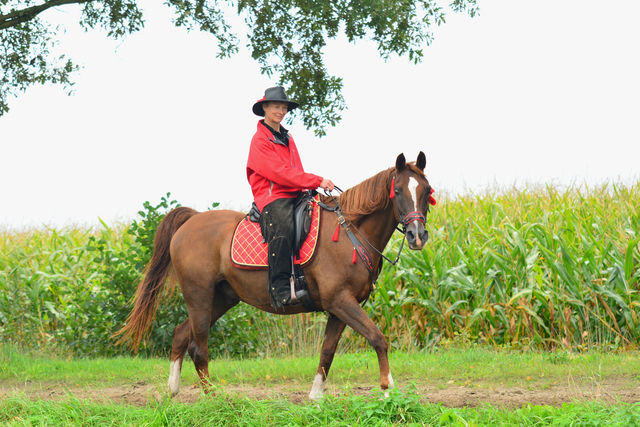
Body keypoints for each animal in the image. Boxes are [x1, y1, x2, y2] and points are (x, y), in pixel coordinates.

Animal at [117, 152, 432, 400]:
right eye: (399, 191)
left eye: (426, 190)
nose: (417, 236)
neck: (350, 232)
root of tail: (191, 220)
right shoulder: (340, 301)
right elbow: (378, 338)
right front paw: (388, 390)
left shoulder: (340, 307)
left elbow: (327, 351)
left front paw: (316, 397)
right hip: (199, 296)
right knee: (199, 346)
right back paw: (214, 400)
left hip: (221, 298)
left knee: (182, 334)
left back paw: (174, 391)